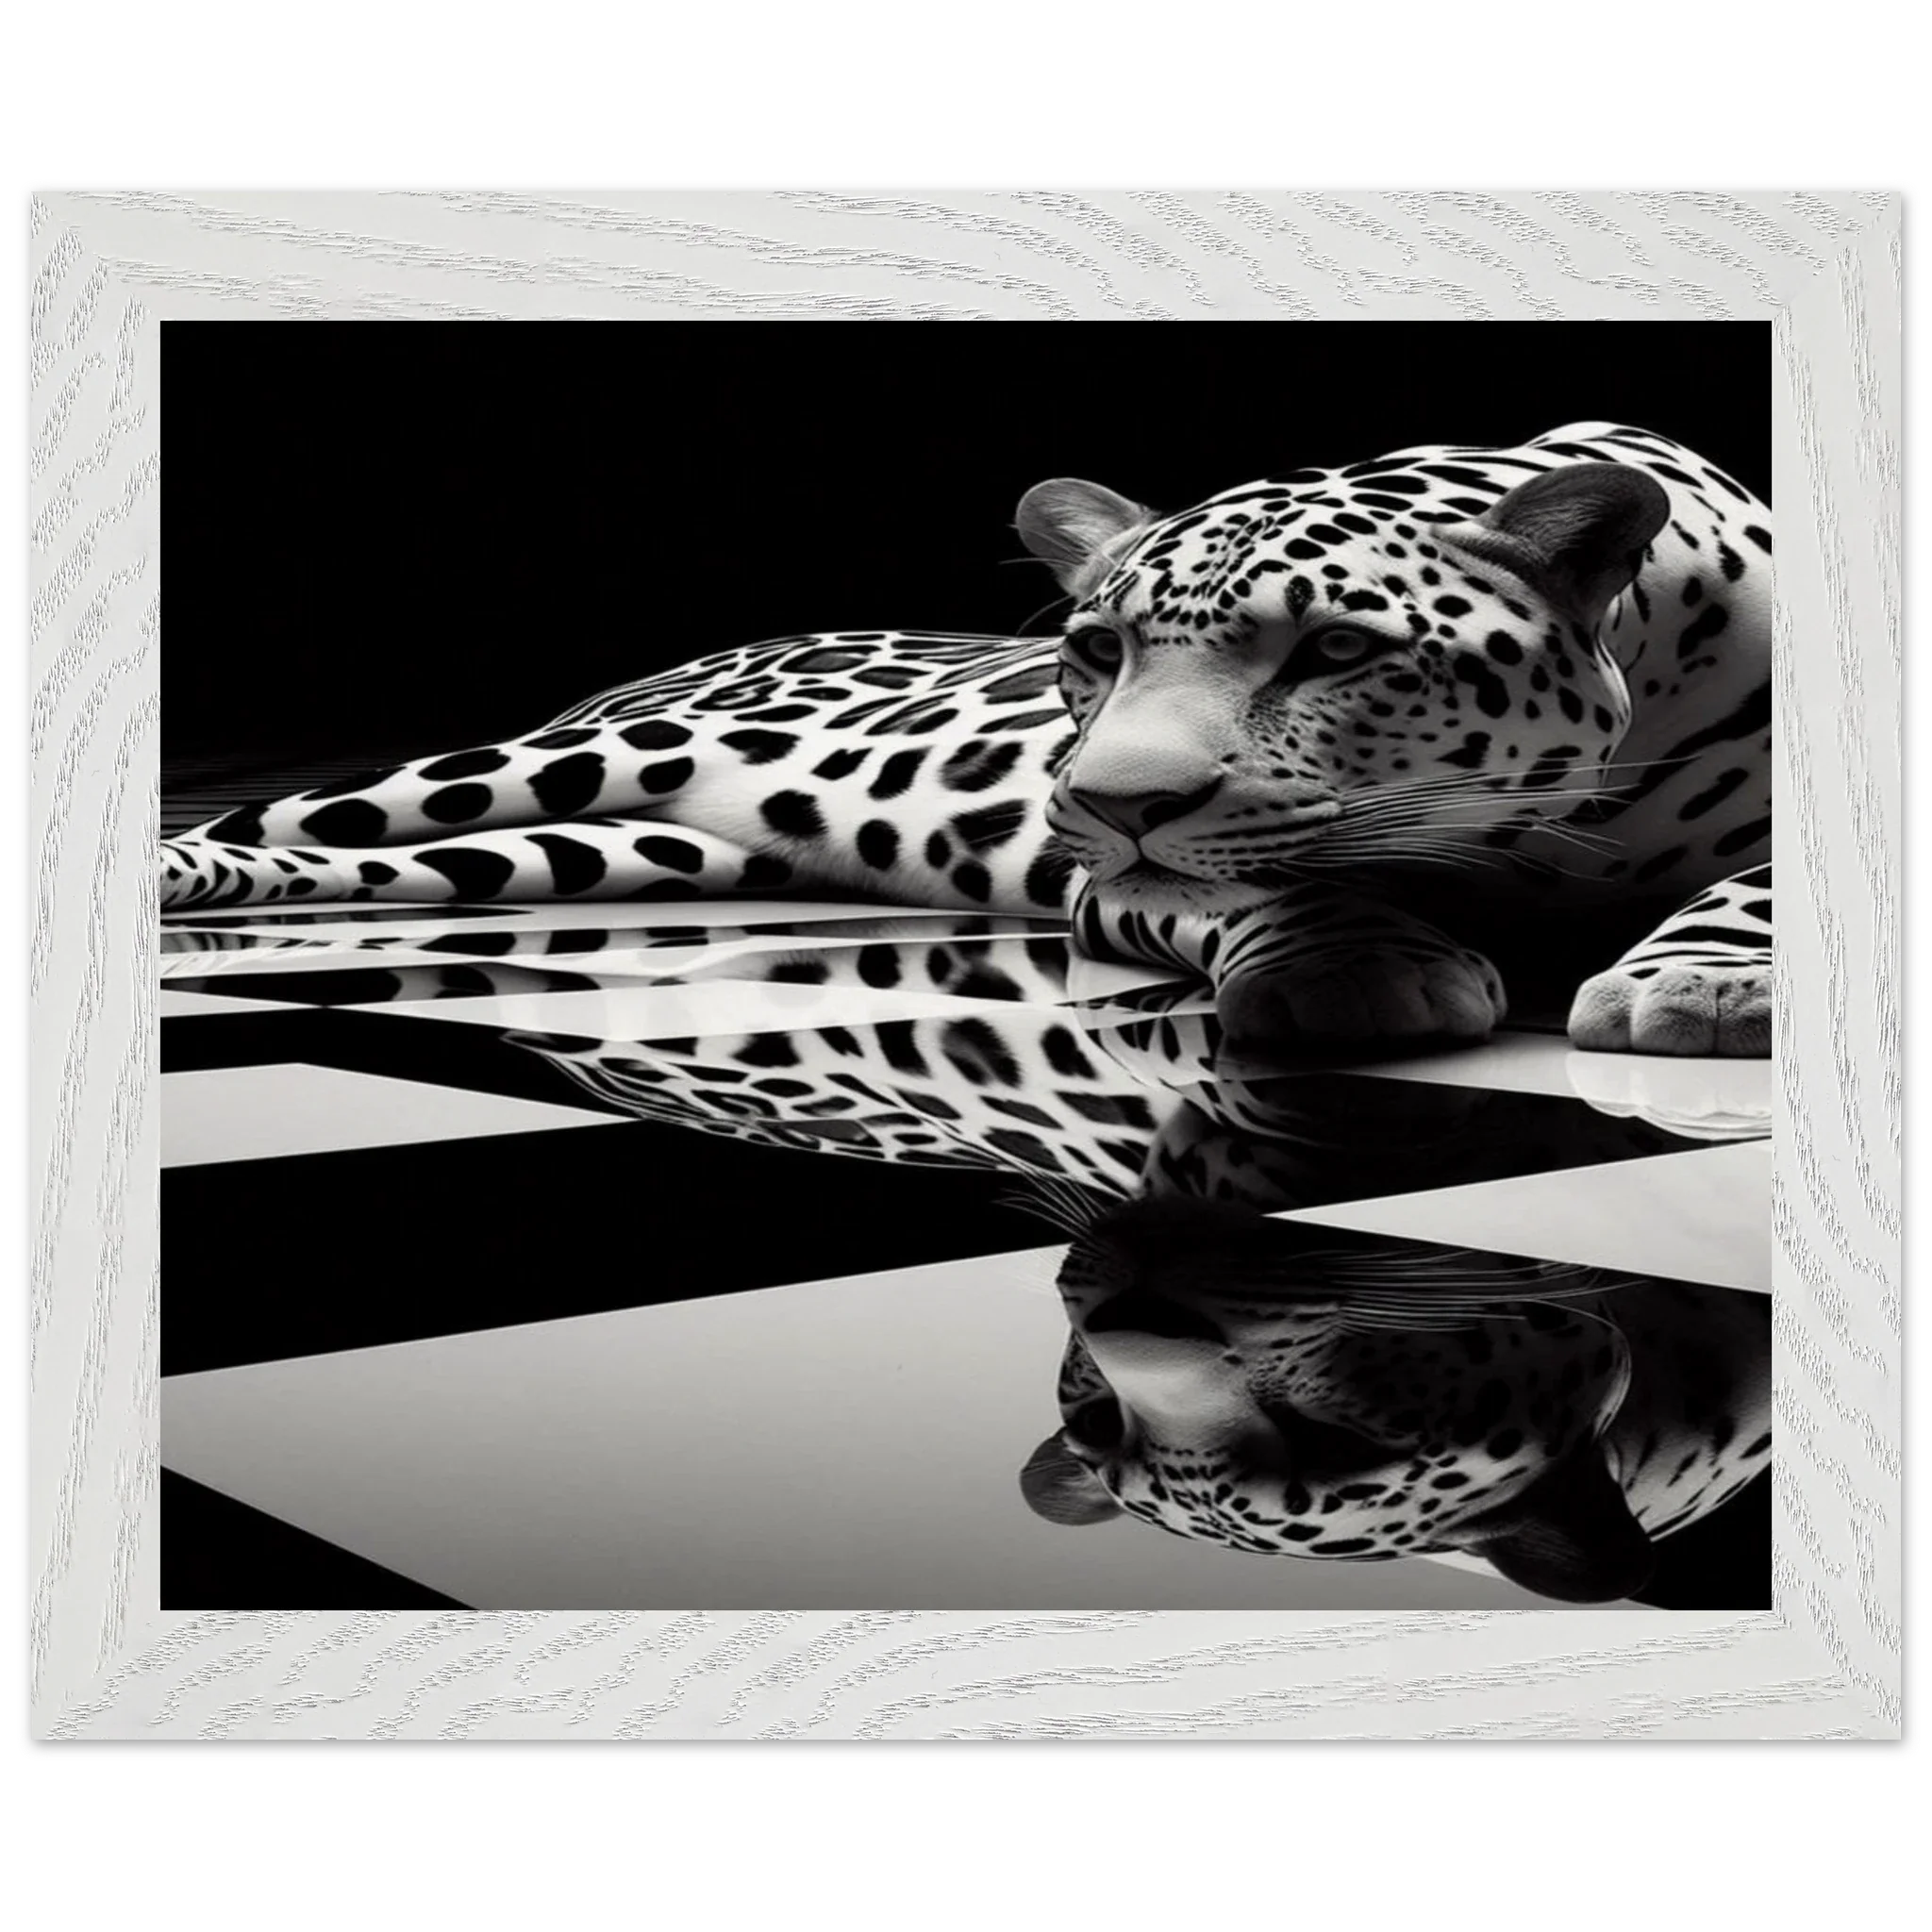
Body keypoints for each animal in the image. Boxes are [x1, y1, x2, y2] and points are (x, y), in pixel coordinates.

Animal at [157, 421, 1774, 1059]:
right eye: (1098, 651)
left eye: (1335, 652)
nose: (1106, 801)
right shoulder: (1123, 887)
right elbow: (1273, 882)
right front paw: (1359, 967)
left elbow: (1758, 884)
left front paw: (1694, 985)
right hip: (558, 763)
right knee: (280, 820)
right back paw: (185, 881)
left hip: (600, 850)